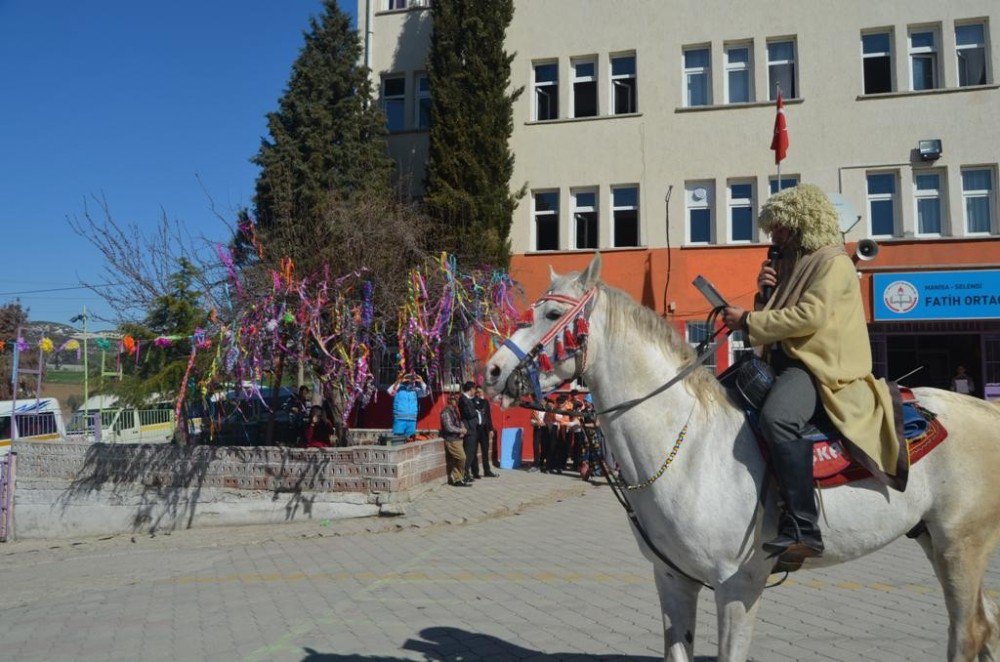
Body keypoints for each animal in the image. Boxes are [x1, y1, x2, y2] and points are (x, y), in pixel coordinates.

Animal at [488, 252, 1000, 660]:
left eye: (553, 312)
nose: (491, 370)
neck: (690, 451)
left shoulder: (738, 587)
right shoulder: (672, 580)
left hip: (961, 543)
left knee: (968, 632)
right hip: (933, 539)